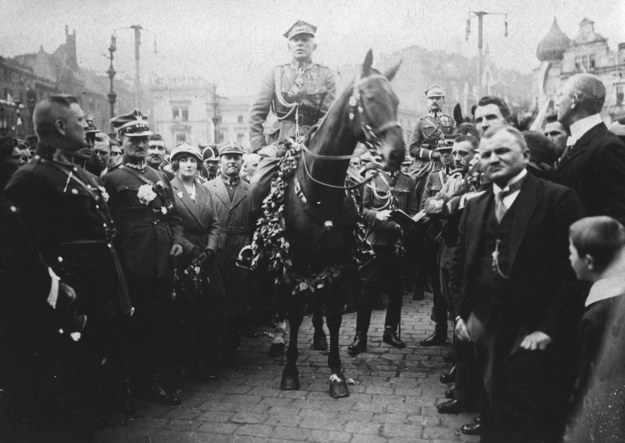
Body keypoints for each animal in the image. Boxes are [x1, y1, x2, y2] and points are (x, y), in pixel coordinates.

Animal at [274, 51, 404, 398]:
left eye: (396, 100)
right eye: (370, 98)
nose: (398, 153)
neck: (321, 193)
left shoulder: (336, 260)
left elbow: (333, 314)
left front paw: (336, 374)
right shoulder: (295, 260)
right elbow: (294, 312)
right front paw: (290, 370)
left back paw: (319, 337)